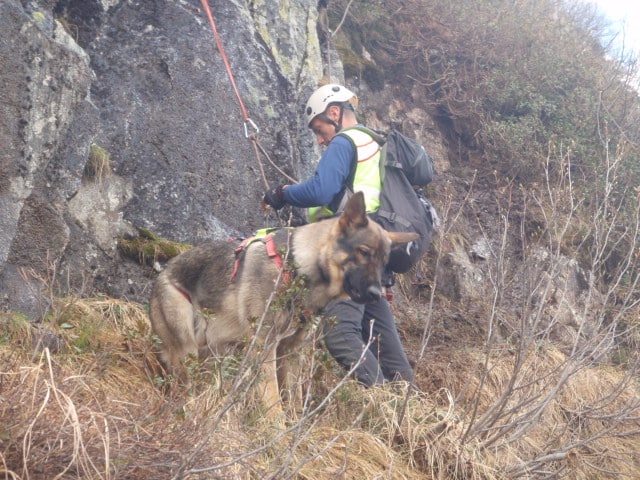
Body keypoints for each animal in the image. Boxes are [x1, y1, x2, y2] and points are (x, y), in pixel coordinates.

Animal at [151, 193, 420, 414]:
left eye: (384, 261)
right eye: (363, 252)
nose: (377, 294)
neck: (298, 268)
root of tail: (163, 272)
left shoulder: (290, 351)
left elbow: (292, 396)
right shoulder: (265, 345)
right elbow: (272, 397)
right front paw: (276, 430)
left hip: (212, 350)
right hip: (187, 350)